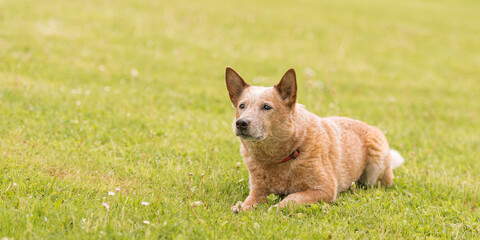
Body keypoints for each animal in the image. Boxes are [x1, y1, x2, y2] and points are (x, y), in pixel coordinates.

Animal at [227, 66, 404, 212]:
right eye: (242, 106)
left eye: (266, 107)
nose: (241, 123)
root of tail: (368, 125)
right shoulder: (258, 188)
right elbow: (251, 199)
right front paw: (241, 206)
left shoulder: (324, 189)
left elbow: (294, 197)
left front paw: (278, 207)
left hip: (375, 166)